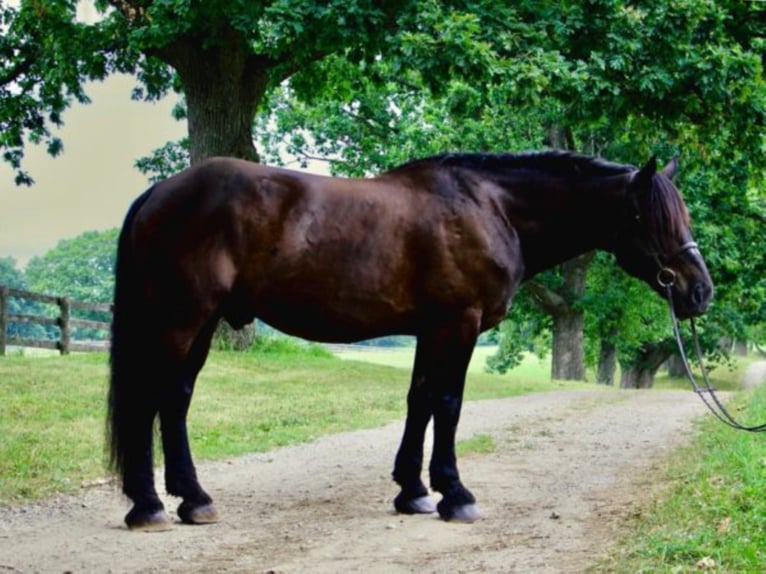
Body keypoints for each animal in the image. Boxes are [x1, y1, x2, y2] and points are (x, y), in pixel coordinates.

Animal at [106, 151, 712, 532]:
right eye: (654, 218)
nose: (699, 291)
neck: (491, 208)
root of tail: (158, 193)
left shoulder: (429, 329)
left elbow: (419, 401)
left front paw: (413, 491)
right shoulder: (458, 324)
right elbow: (448, 403)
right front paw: (455, 495)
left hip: (201, 323)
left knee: (174, 399)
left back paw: (192, 500)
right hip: (182, 318)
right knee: (149, 399)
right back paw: (149, 506)